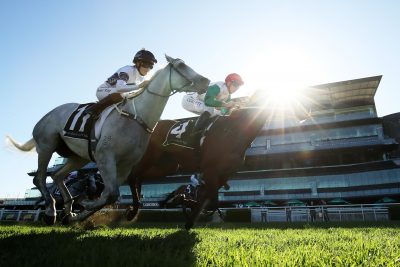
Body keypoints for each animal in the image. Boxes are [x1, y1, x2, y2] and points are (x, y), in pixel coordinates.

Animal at [6, 55, 209, 225]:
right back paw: (51, 212)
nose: (206, 81)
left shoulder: (127, 164)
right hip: (47, 145)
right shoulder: (106, 156)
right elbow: (110, 193)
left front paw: (78, 214)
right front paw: (85, 205)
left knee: (57, 176)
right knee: (39, 178)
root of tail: (46, 115)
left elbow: (110, 194)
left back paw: (68, 210)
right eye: (181, 65)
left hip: (79, 157)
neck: (136, 117)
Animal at [126, 103, 268, 229]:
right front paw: (184, 203)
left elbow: (208, 201)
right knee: (132, 176)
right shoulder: (210, 170)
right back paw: (133, 211)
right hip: (149, 156)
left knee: (139, 177)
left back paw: (136, 207)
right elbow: (210, 202)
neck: (234, 130)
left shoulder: (222, 175)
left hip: (167, 166)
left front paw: (189, 219)